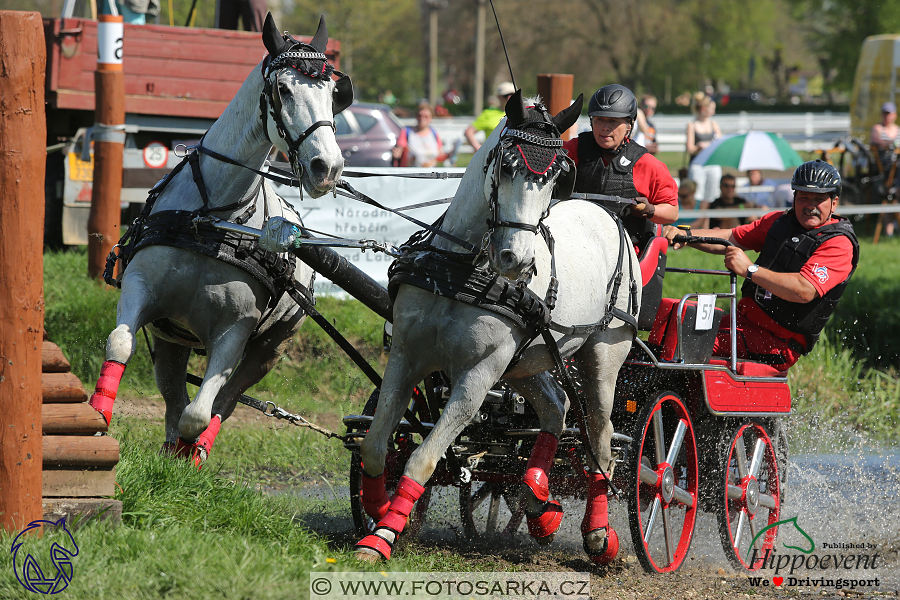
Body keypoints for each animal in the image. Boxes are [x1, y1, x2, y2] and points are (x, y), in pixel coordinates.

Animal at [89, 12, 348, 464]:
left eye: (334, 93)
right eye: (283, 89)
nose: (327, 168)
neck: (213, 220)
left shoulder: (234, 331)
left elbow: (200, 412)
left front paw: (189, 454)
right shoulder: (141, 290)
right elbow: (120, 345)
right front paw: (98, 420)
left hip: (268, 351)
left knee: (223, 401)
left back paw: (192, 452)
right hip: (170, 338)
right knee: (173, 394)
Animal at [356, 91, 644, 564]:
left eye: (555, 176)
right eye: (507, 165)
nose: (518, 260)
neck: (461, 272)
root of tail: (604, 212)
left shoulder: (477, 375)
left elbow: (423, 458)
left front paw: (380, 537)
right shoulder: (406, 356)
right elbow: (376, 444)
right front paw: (379, 508)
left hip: (601, 357)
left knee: (601, 444)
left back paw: (598, 535)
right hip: (529, 360)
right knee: (556, 406)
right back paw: (538, 500)